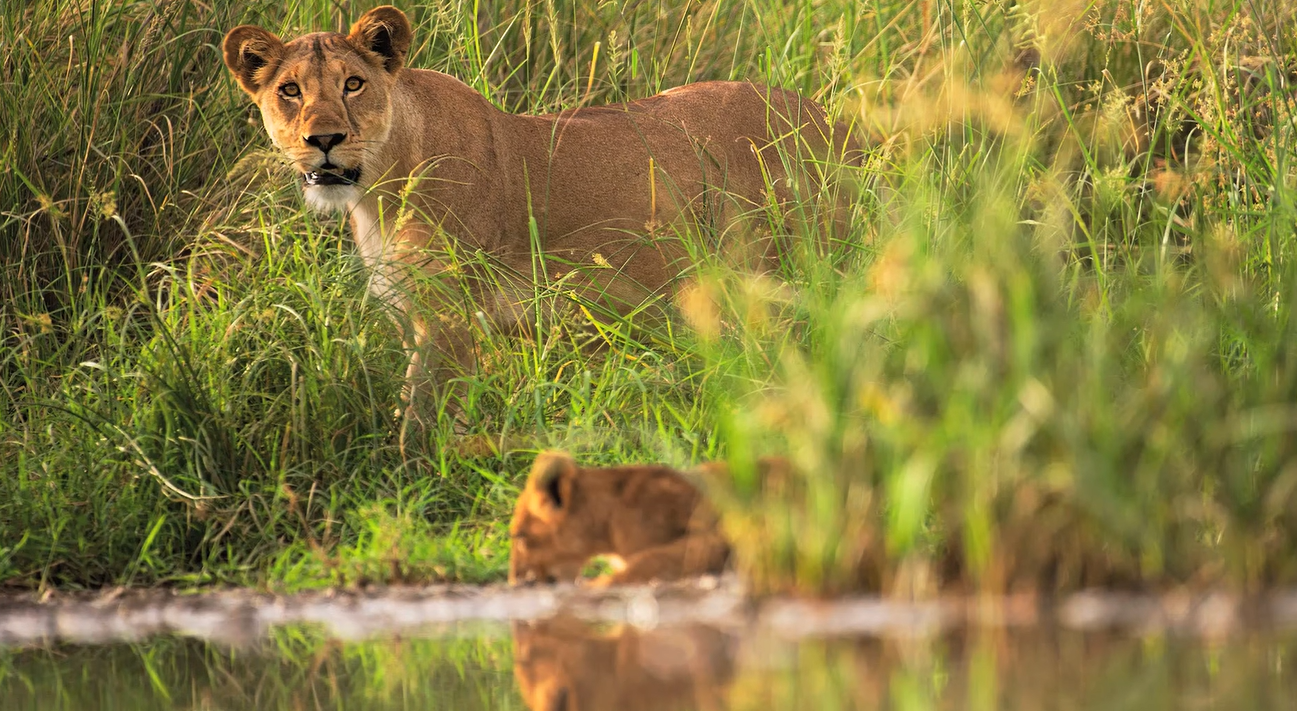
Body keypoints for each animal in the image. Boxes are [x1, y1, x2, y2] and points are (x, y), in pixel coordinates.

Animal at [222, 6, 858, 418]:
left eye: (353, 84)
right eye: (289, 91)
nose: (324, 140)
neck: (379, 191)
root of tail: (833, 120)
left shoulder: (449, 318)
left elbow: (421, 423)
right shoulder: (409, 314)